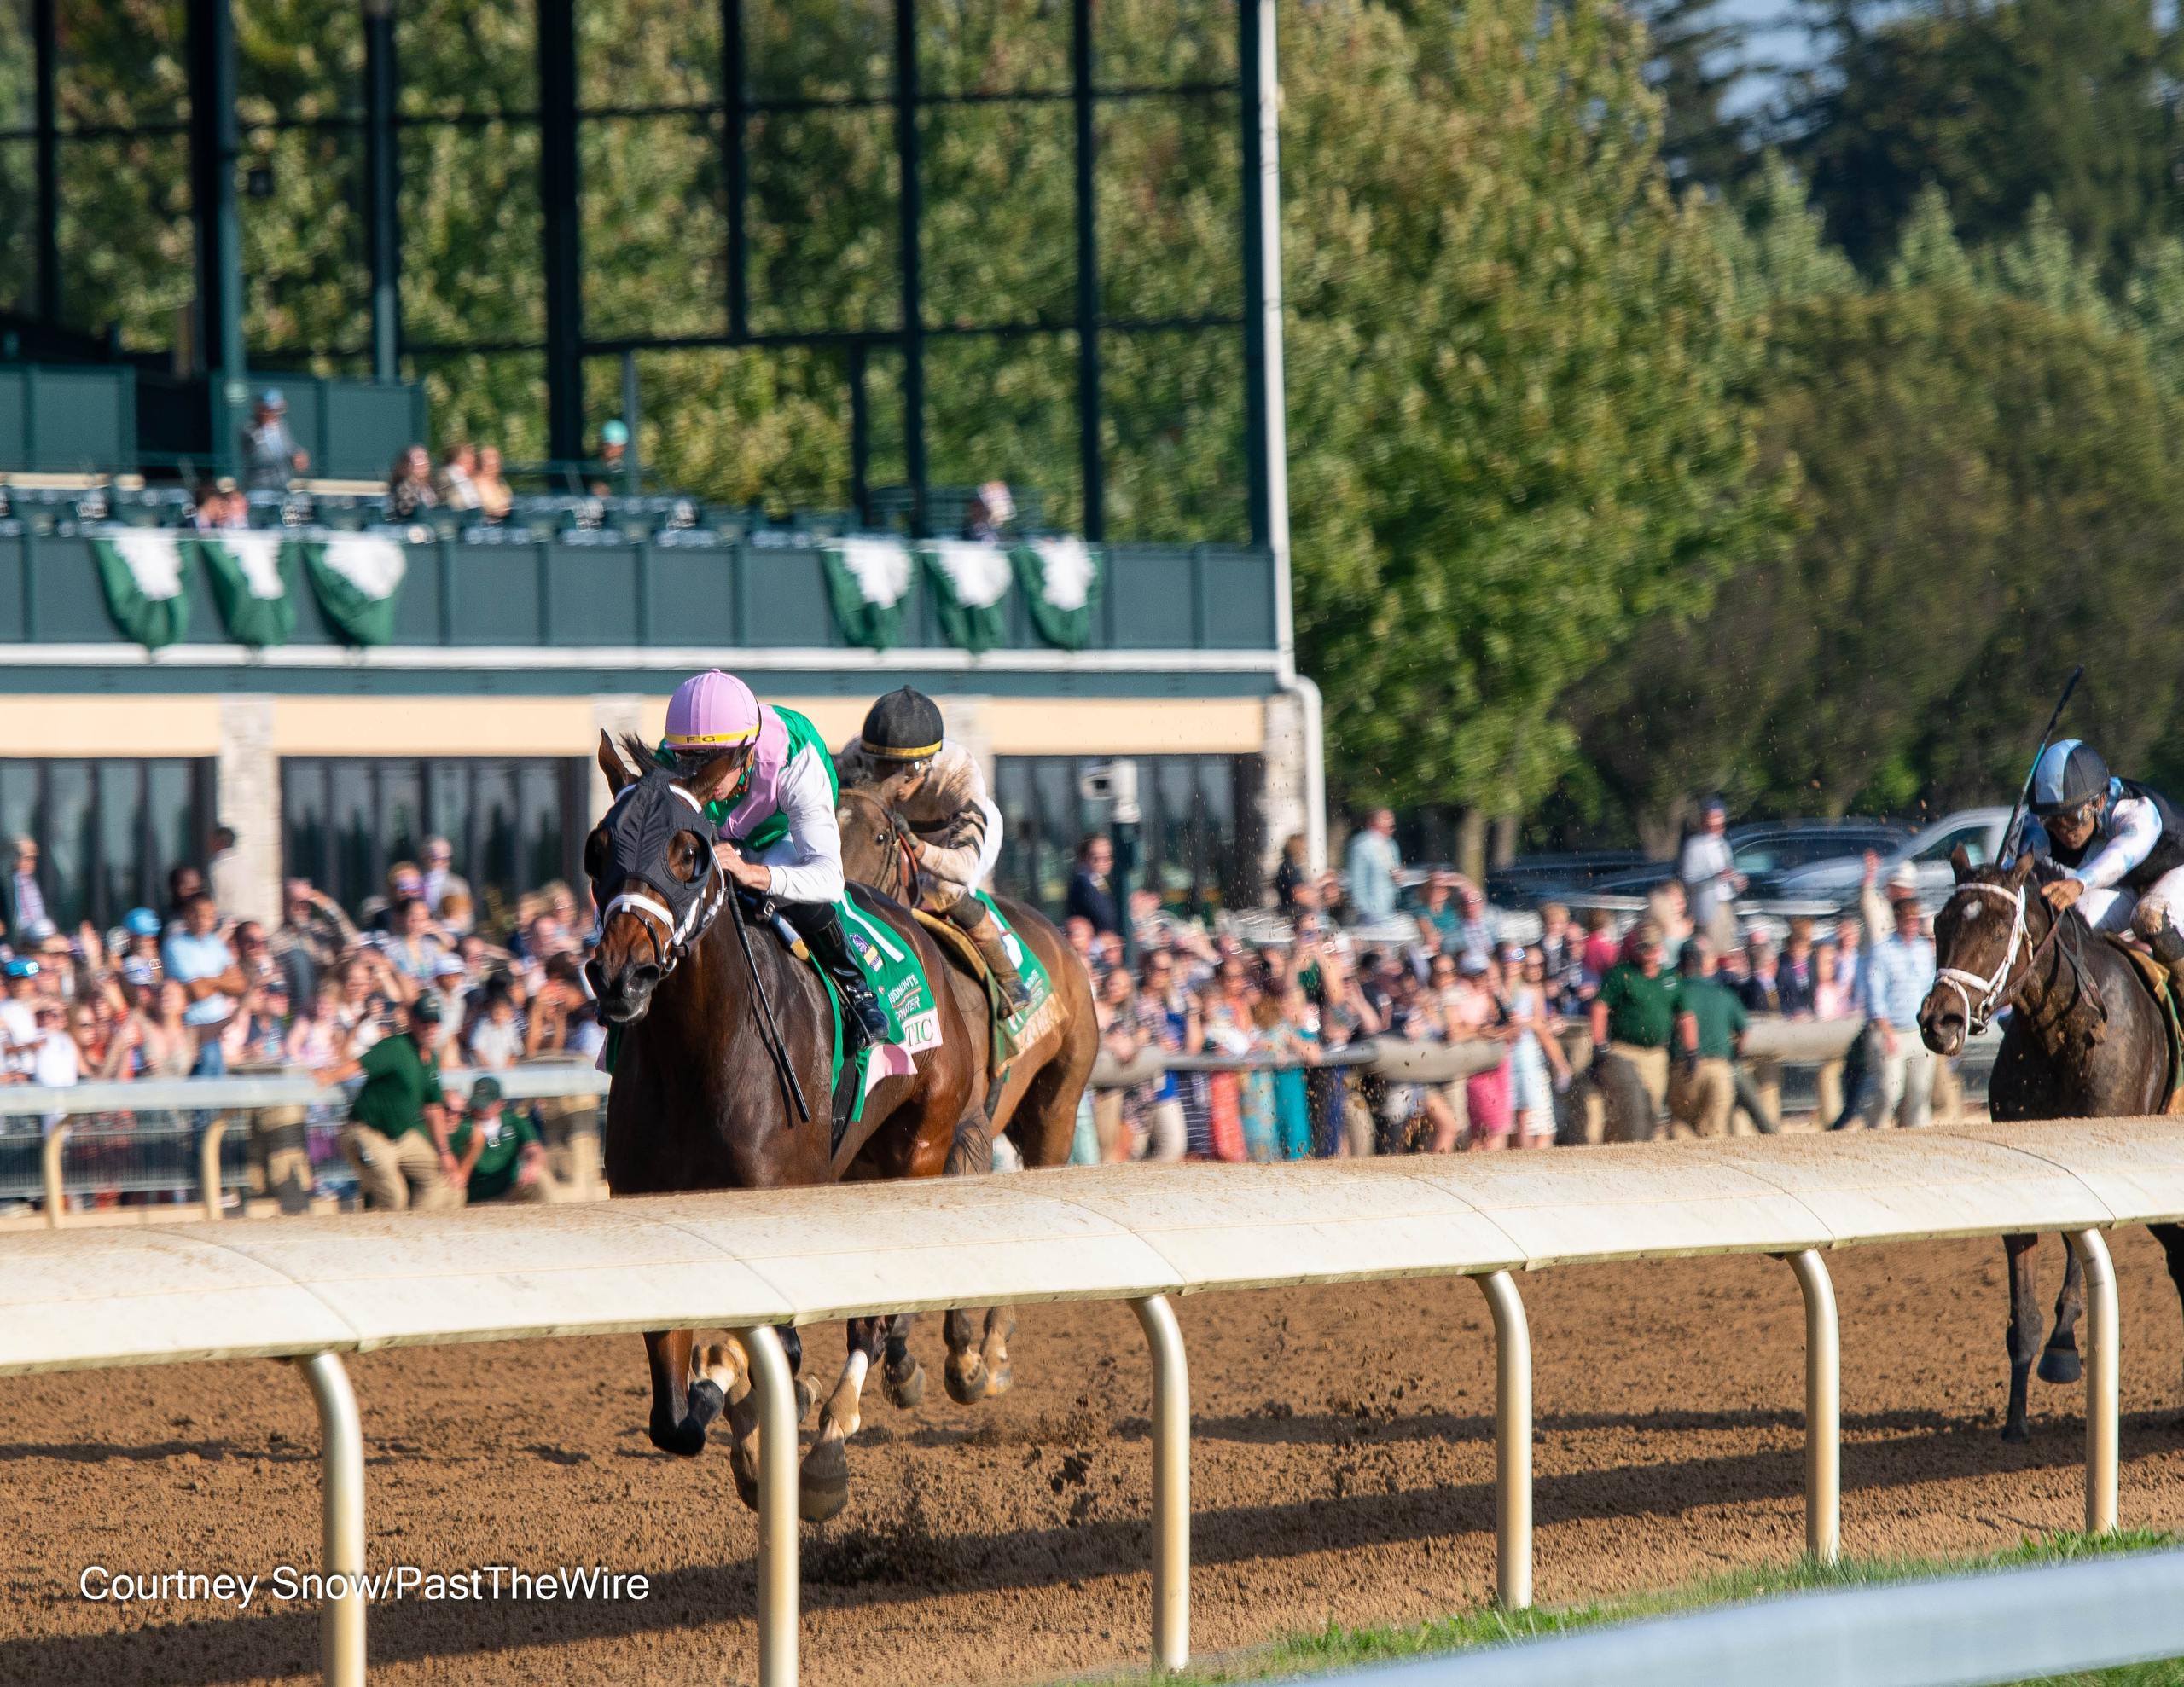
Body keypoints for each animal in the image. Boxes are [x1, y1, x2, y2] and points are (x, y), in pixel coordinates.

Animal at [585, 728, 987, 1518]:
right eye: (598, 846)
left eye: (689, 850)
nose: (622, 976)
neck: (701, 1053)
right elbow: (675, 1416)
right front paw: (742, 1425)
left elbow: (764, 1343)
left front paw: (766, 1405)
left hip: (918, 1149)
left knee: (874, 1318)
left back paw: (830, 1452)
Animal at [1913, 850, 2184, 1440]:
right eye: (1940, 925)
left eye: (1998, 929)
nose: (1938, 1021)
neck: (2068, 1029)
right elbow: (2023, 1299)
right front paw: (2016, 1416)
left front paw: (2062, 1351)